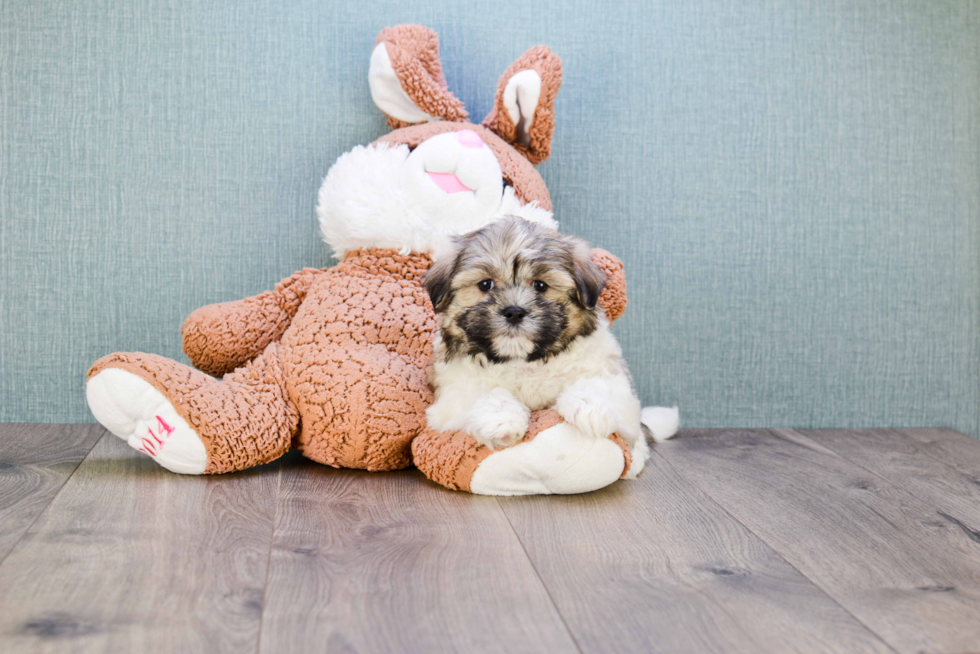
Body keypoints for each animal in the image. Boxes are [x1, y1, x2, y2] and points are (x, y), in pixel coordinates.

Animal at [424, 218, 664, 480]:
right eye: (486, 284)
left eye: (540, 286)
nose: (514, 311)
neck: (523, 360)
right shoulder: (451, 393)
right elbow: (484, 393)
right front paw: (501, 420)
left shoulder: (612, 377)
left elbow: (599, 385)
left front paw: (589, 408)